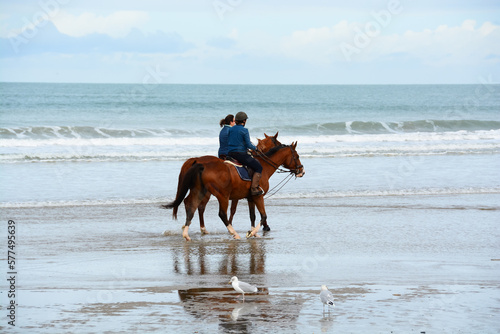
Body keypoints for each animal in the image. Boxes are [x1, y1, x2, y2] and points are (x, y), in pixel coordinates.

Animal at [164, 141, 304, 240]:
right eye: (296, 156)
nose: (302, 171)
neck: (263, 167)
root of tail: (200, 163)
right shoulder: (258, 196)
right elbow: (263, 215)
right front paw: (252, 232)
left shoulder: (251, 198)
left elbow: (252, 215)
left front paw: (254, 232)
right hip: (222, 196)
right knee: (219, 213)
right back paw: (233, 233)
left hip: (200, 191)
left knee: (191, 205)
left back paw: (187, 233)